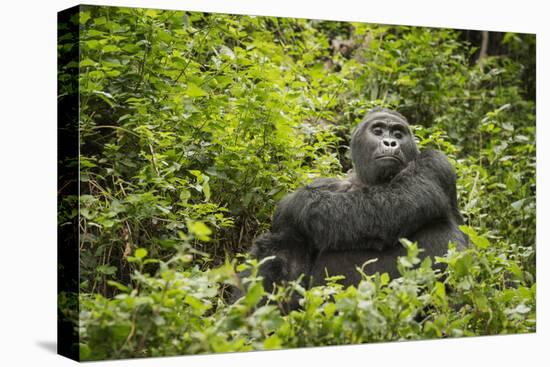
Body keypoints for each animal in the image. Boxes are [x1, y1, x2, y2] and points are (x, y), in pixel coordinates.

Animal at [248, 108, 468, 294]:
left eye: (398, 134)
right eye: (378, 131)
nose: (390, 143)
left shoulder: (435, 162)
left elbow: (396, 204)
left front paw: (294, 205)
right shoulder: (326, 183)